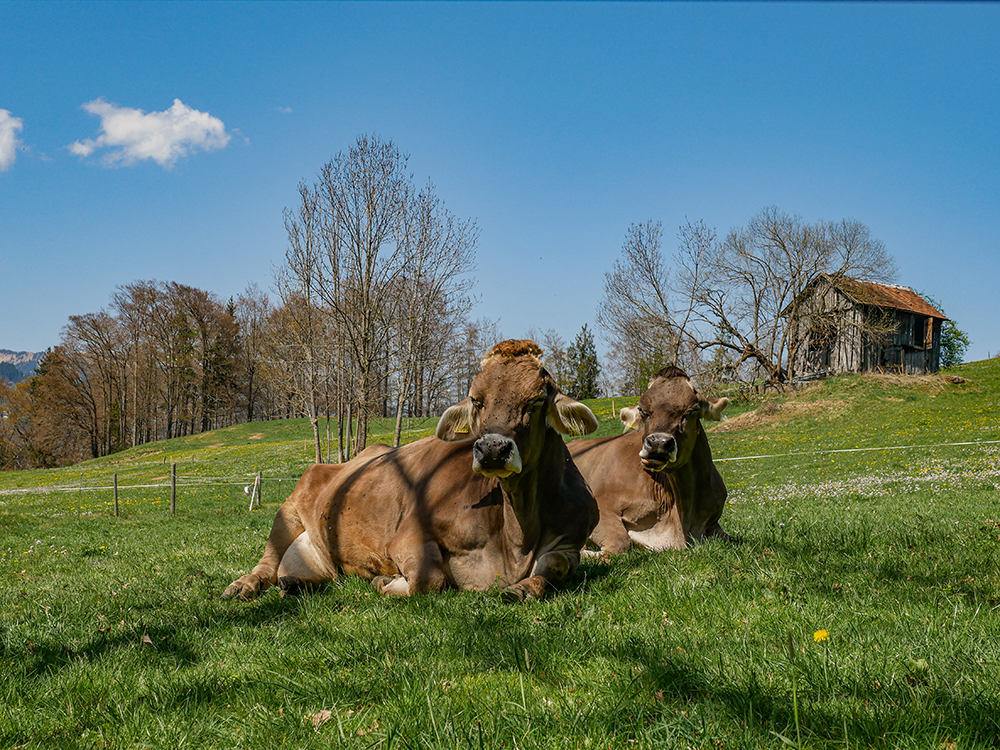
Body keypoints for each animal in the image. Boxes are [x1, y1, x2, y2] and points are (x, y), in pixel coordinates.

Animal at [223, 342, 596, 604]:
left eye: (536, 400)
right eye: (476, 400)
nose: (492, 449)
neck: (516, 535)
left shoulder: (572, 541)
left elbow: (555, 566)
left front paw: (524, 588)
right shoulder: (409, 535)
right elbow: (429, 580)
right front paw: (382, 580)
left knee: (311, 574)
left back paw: (294, 584)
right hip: (288, 510)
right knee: (267, 563)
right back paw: (244, 586)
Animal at [572, 368, 728, 556]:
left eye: (691, 410)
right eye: (643, 411)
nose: (658, 443)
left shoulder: (714, 523)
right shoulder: (599, 504)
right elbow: (620, 542)